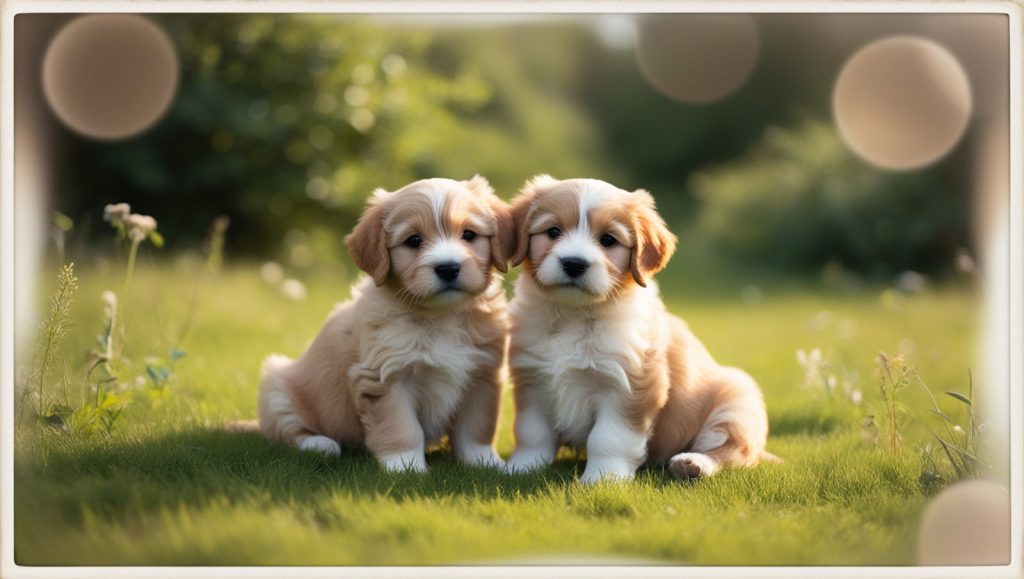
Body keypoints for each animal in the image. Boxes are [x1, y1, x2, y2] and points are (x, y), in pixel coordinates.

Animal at [256, 176, 512, 469]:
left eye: (469, 235)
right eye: (414, 240)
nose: (448, 268)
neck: (440, 316)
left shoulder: (483, 374)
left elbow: (476, 429)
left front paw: (485, 463)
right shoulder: (385, 377)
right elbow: (401, 426)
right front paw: (406, 467)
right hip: (277, 387)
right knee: (289, 429)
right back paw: (319, 444)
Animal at [503, 176, 774, 483]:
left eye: (608, 240)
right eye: (553, 231)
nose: (574, 263)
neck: (576, 314)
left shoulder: (631, 384)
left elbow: (609, 437)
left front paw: (602, 479)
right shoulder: (532, 379)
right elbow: (532, 432)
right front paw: (522, 467)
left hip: (736, 402)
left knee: (732, 453)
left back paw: (692, 463)